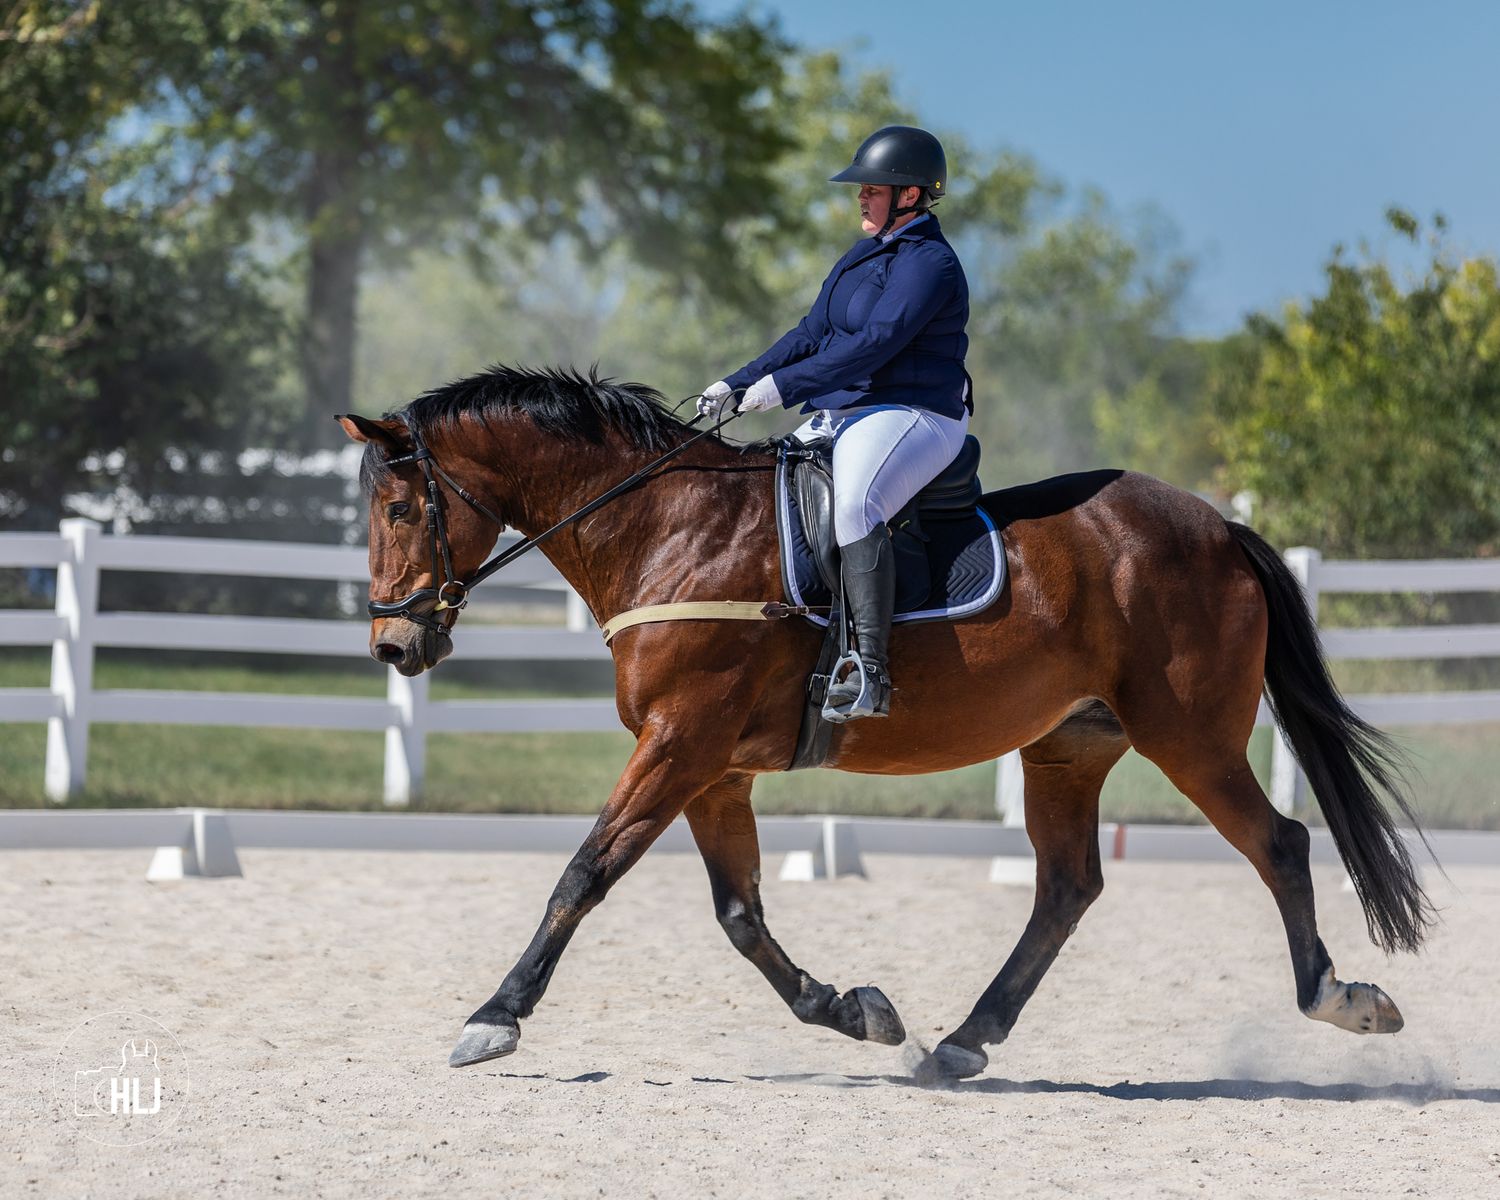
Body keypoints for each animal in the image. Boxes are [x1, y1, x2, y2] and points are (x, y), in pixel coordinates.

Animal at [337, 364, 1432, 1079]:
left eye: (401, 509)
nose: (394, 648)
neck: (667, 530)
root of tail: (1220, 527)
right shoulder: (712, 768)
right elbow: (740, 915)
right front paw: (853, 1011)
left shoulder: (679, 745)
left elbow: (582, 875)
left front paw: (494, 1018)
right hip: (1068, 747)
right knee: (1067, 887)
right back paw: (963, 1042)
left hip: (1189, 738)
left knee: (1279, 844)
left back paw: (1342, 1000)